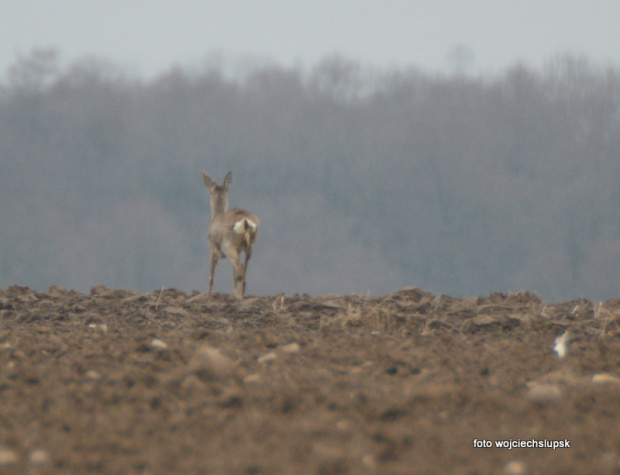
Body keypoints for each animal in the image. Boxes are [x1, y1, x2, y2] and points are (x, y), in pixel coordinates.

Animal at [202, 171, 258, 300]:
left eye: (210, 192)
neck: (216, 215)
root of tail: (245, 221)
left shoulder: (212, 249)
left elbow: (211, 277)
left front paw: (207, 296)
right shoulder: (238, 251)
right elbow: (232, 277)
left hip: (228, 245)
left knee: (239, 269)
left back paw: (239, 298)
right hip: (249, 245)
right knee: (243, 271)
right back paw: (240, 296)